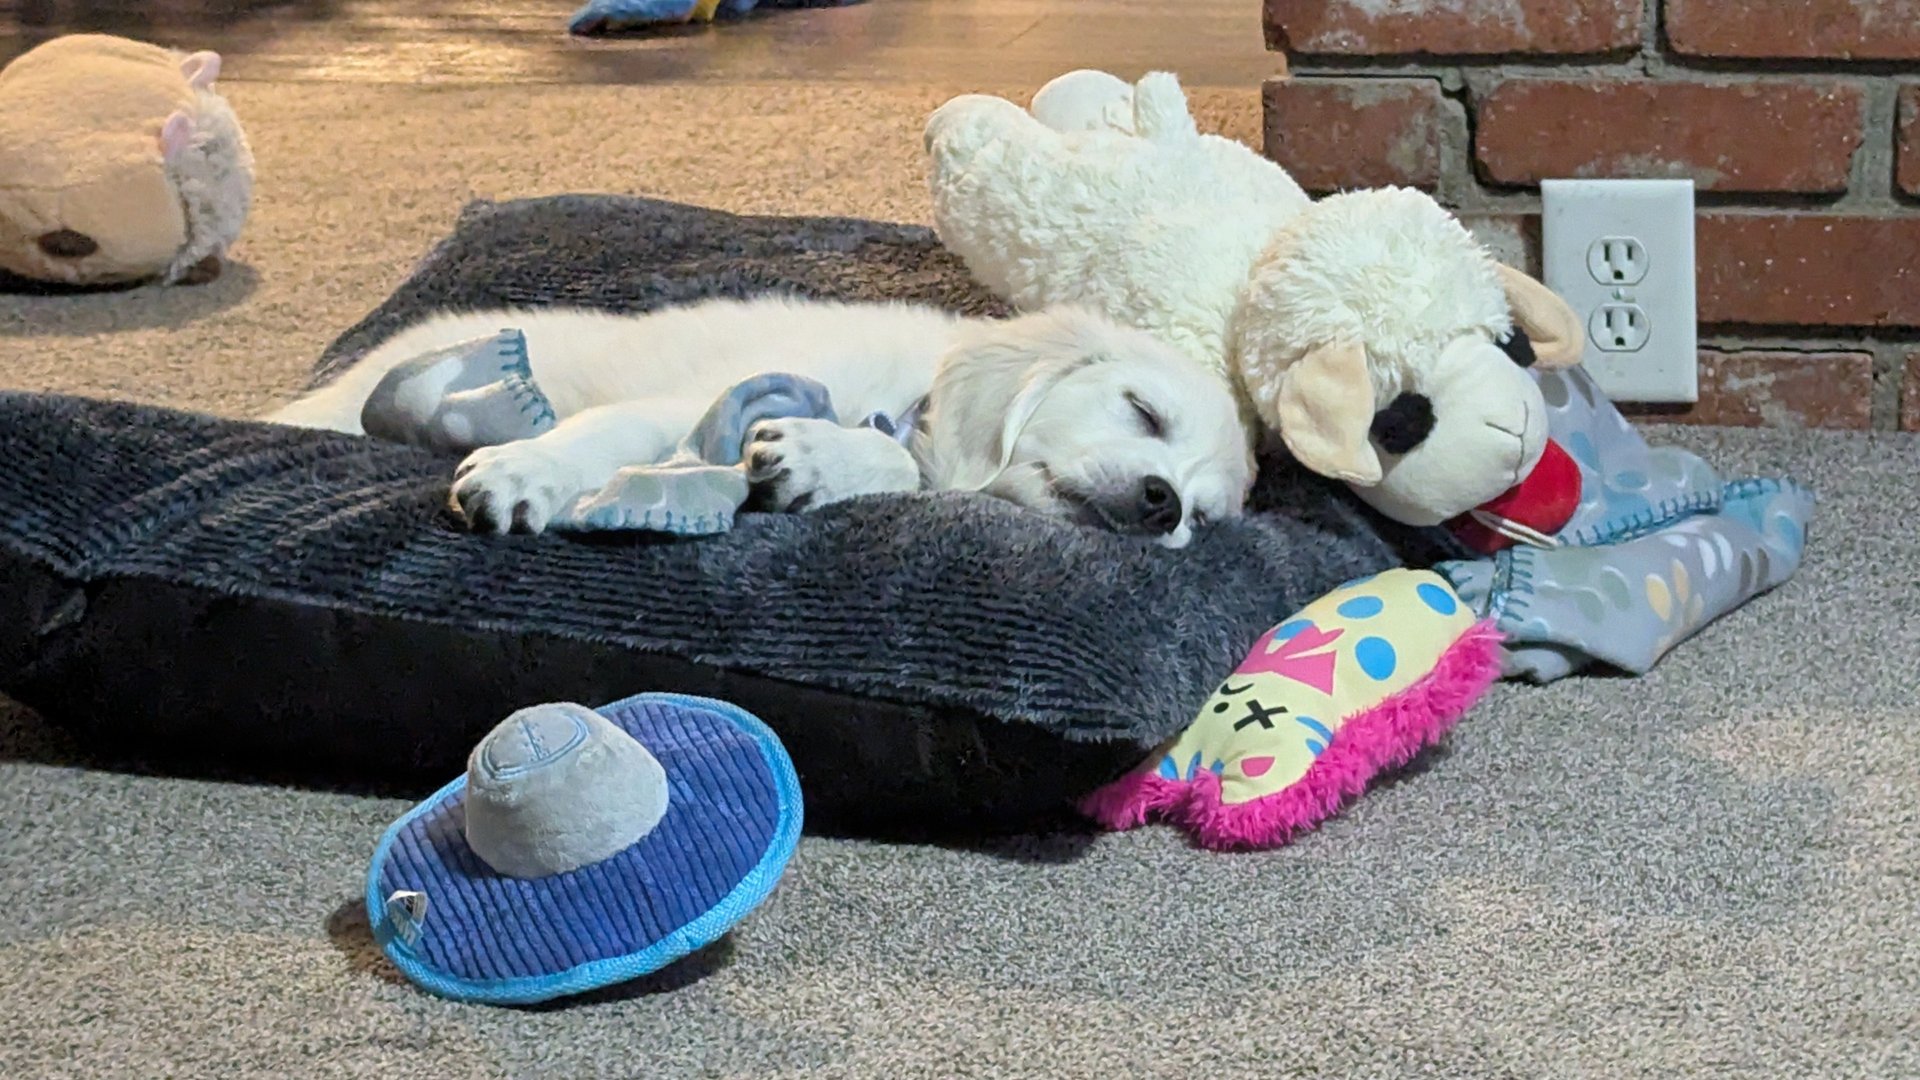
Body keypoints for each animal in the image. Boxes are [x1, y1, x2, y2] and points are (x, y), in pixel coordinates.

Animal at [270, 294, 1259, 545]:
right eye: (1142, 411)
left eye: (1205, 519)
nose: (1165, 504)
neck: (908, 400)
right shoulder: (677, 404)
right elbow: (595, 437)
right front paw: (522, 476)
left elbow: (891, 467)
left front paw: (822, 462)